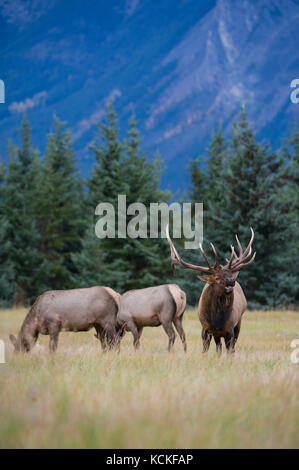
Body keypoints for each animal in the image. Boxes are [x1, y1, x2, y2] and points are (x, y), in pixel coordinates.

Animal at [166, 226, 258, 354]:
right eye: (217, 278)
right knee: (219, 347)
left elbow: (230, 351)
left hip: (238, 322)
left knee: (231, 347)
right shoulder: (205, 329)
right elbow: (205, 351)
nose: (231, 280)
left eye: (230, 274)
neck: (217, 321)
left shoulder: (230, 329)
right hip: (217, 334)